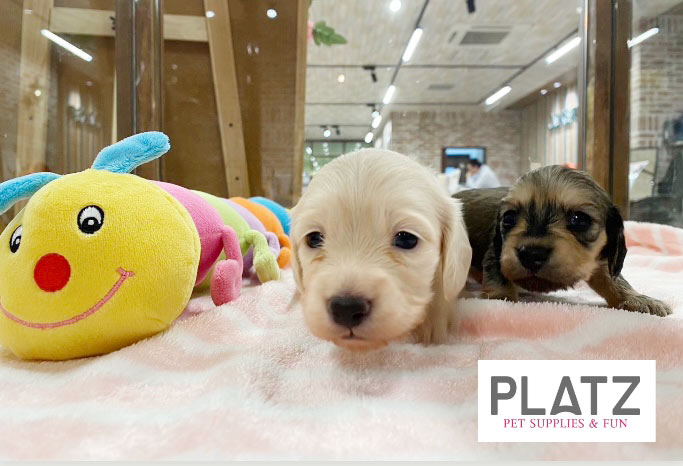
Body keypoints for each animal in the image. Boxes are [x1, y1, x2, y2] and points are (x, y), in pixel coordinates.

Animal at [454, 165, 671, 316]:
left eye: (580, 220)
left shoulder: (601, 260)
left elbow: (614, 280)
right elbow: (498, 280)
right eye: (508, 218)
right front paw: (500, 299)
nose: (531, 254)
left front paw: (638, 299)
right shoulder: (497, 253)